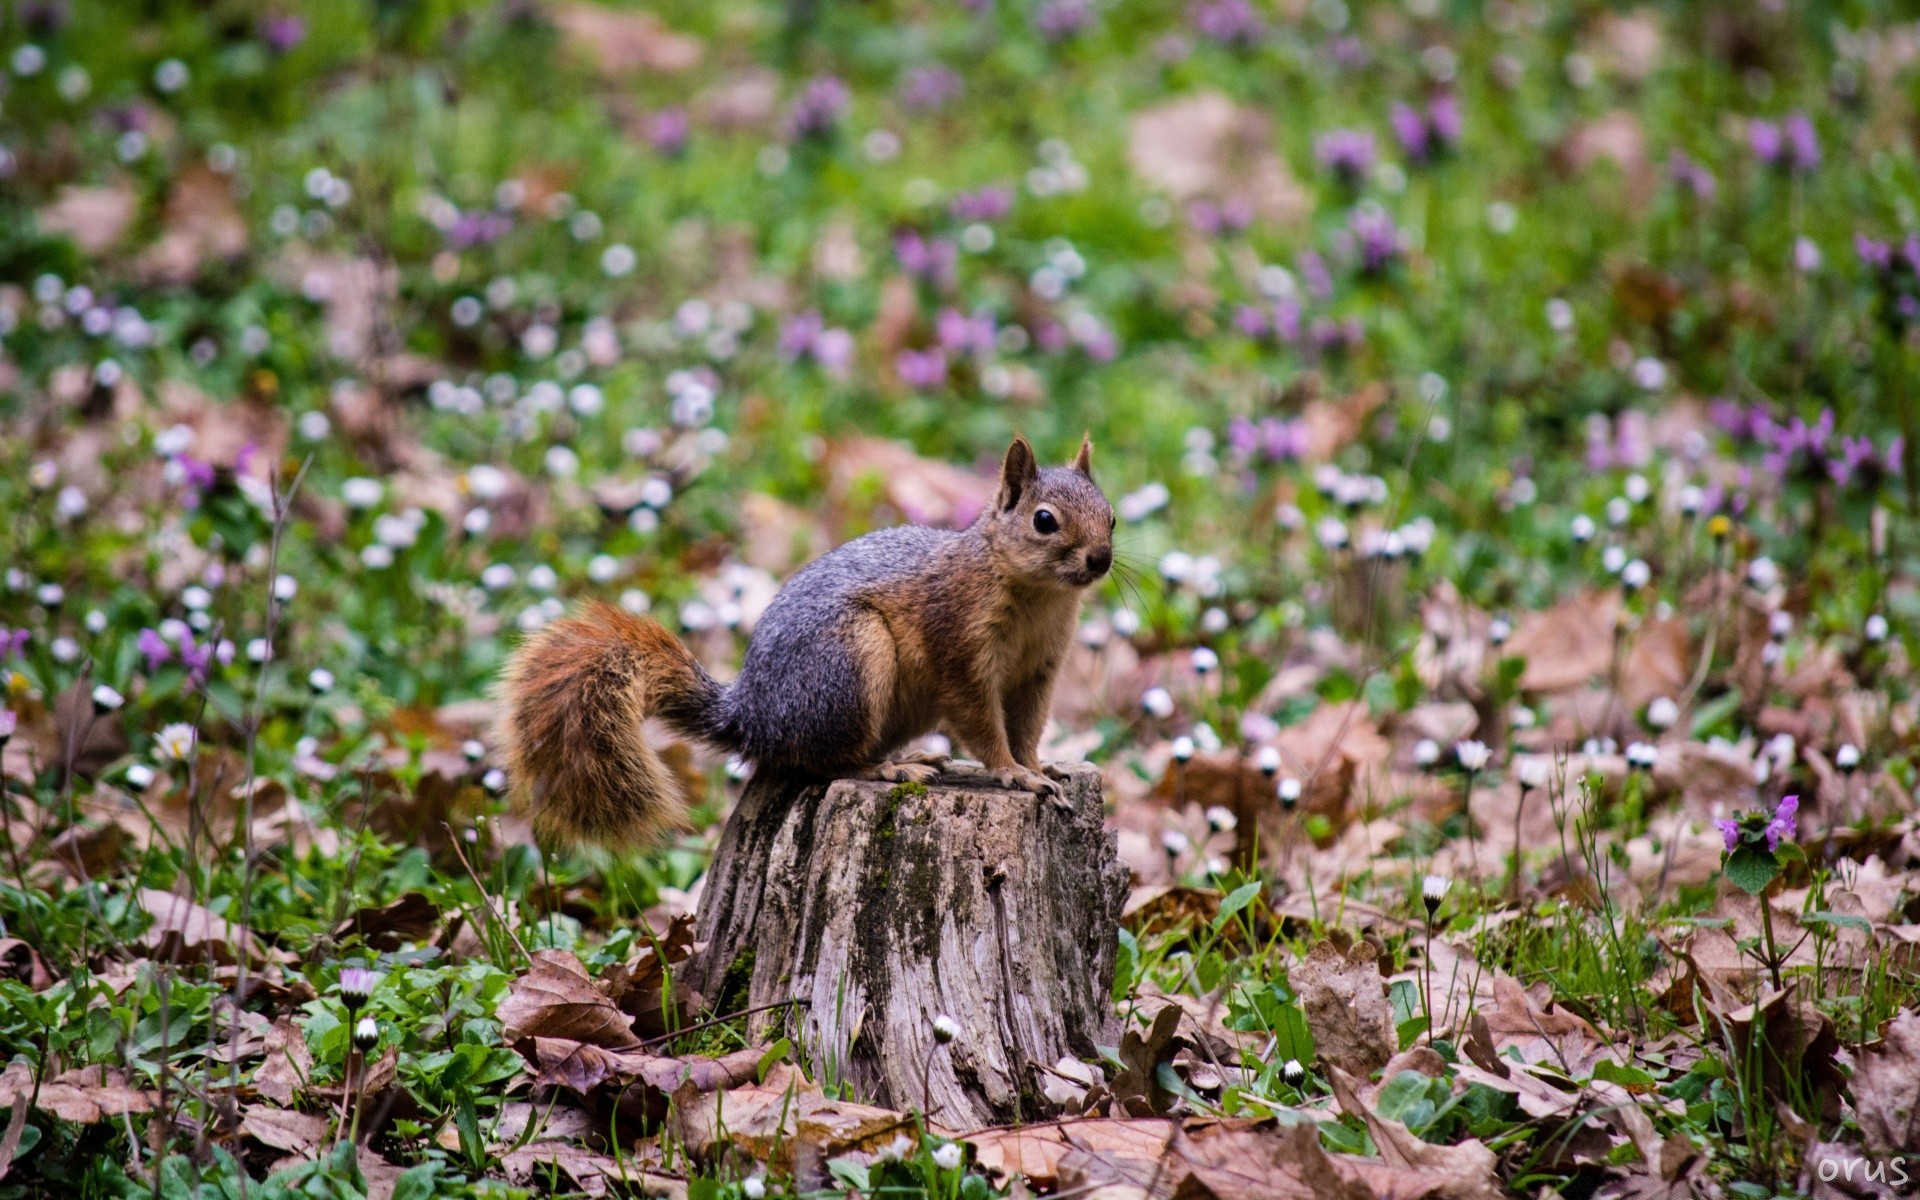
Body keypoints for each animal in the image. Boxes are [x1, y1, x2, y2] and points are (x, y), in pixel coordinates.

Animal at [503, 437, 1121, 840]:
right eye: (1044, 520)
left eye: (1112, 516)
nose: (1101, 558)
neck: (1036, 596)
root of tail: (752, 715)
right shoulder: (959, 644)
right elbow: (983, 723)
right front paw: (1013, 774)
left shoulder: (1039, 670)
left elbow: (1027, 725)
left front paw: (1039, 767)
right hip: (849, 664)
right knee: (822, 763)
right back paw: (889, 769)